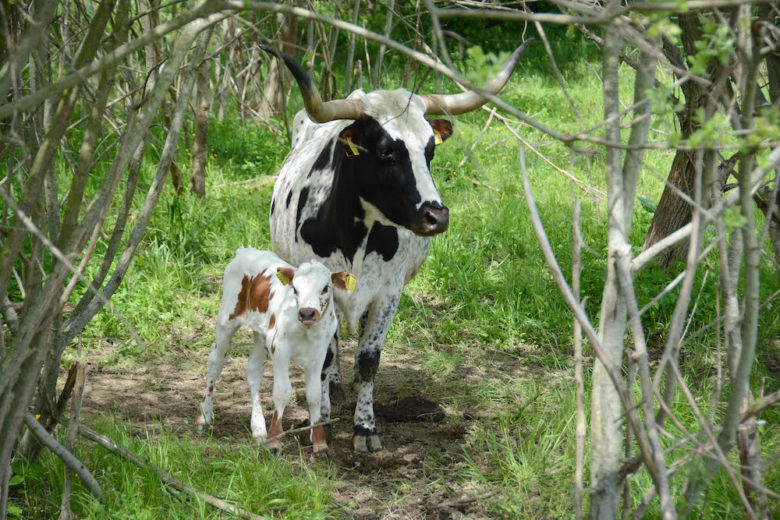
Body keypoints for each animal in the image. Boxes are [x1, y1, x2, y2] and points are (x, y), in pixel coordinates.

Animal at [197, 248, 354, 456]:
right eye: (295, 289)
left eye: (325, 288)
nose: (307, 313)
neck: (306, 330)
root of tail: (246, 250)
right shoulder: (279, 348)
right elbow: (282, 392)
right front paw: (274, 441)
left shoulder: (319, 352)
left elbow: (314, 396)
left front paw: (320, 443)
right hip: (226, 321)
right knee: (215, 363)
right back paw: (204, 417)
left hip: (260, 332)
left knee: (254, 372)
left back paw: (258, 428)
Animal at [260, 41, 532, 450]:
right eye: (387, 153)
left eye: (430, 151)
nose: (437, 216)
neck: (356, 237)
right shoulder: (320, 289)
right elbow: (325, 355)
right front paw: (321, 418)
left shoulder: (389, 291)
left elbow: (368, 358)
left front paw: (365, 427)